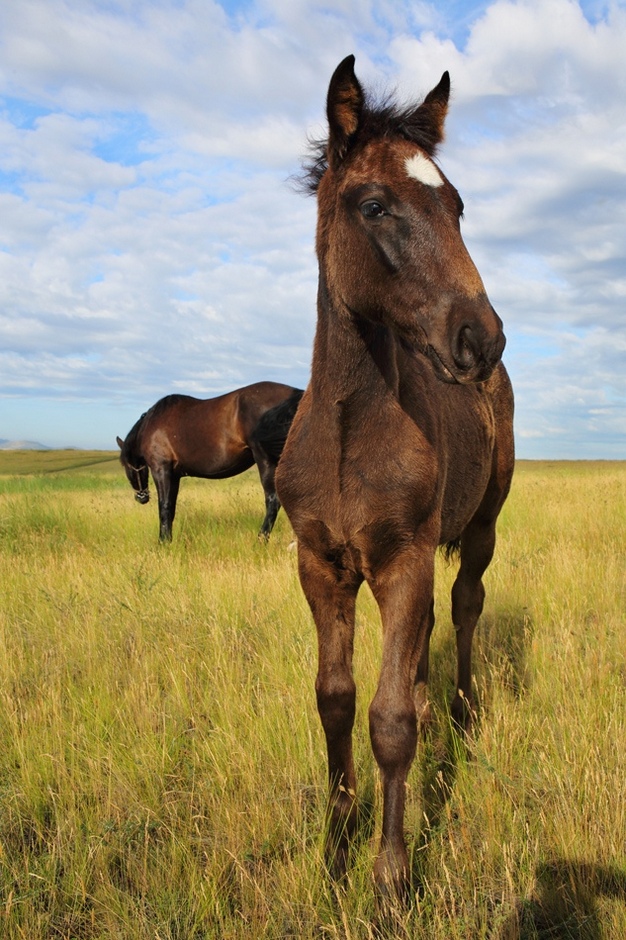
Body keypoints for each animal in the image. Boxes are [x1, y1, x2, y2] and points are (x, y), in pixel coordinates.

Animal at [118, 382, 304, 544]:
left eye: (126, 466)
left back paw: (260, 541)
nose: (141, 497)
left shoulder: (161, 470)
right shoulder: (174, 476)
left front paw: (163, 542)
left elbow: (164, 507)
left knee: (273, 500)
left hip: (266, 459)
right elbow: (171, 508)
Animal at [276, 57, 516, 896]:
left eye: (457, 205)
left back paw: (466, 712)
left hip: (482, 525)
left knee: (467, 603)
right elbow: (336, 700)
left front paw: (389, 881)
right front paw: (334, 847)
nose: (482, 338)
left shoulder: (405, 560)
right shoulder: (322, 567)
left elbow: (390, 724)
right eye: (374, 205)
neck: (351, 431)